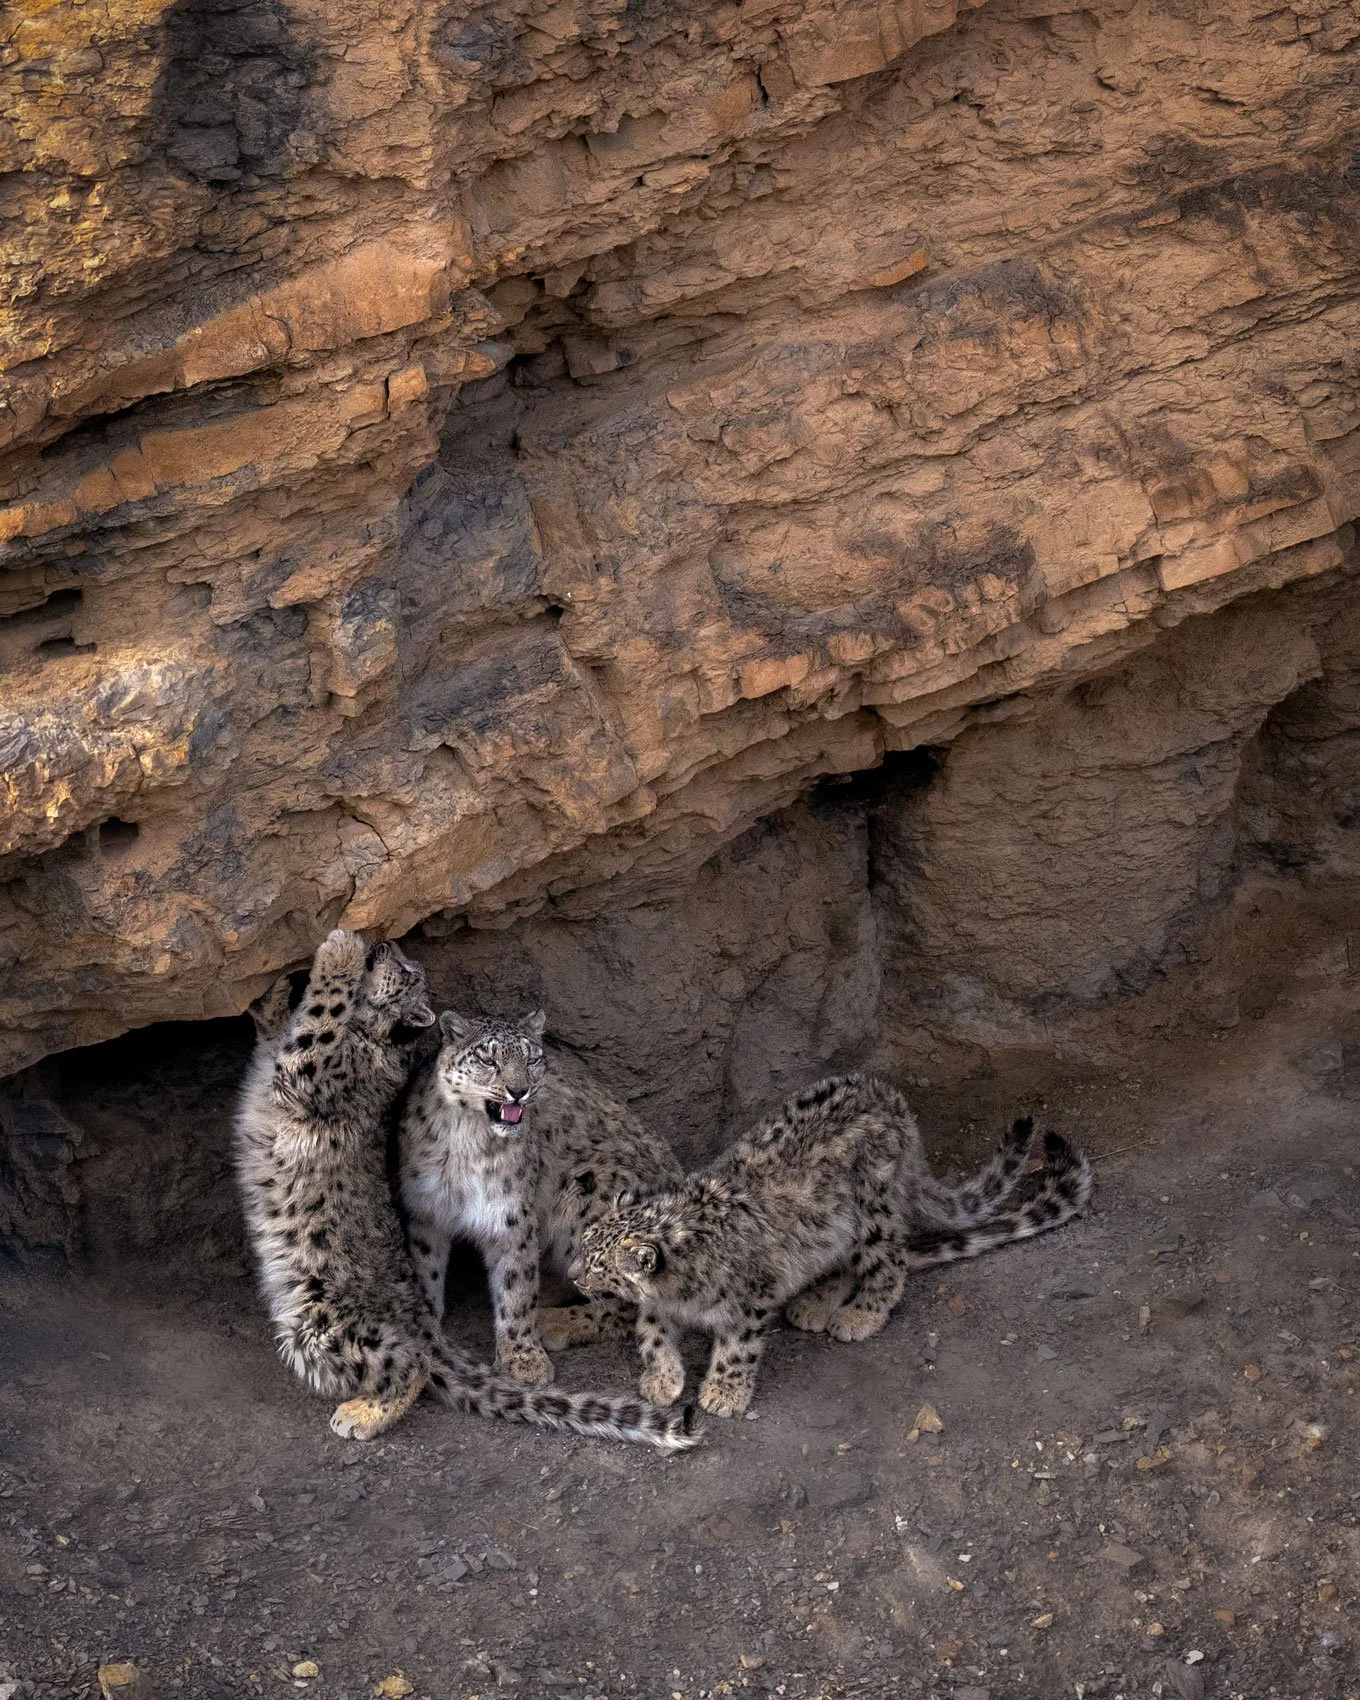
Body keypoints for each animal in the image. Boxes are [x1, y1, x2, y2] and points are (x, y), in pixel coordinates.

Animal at [398, 1009, 687, 1405]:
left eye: (532, 1059)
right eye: (488, 1060)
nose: (518, 1090)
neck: (467, 1141)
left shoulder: (511, 1216)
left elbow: (516, 1288)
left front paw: (523, 1358)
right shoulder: (426, 1210)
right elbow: (426, 1270)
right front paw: (426, 1320)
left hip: (593, 1190)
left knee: (624, 1305)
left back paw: (552, 1322)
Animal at [567, 1071, 1092, 1418]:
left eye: (598, 1265)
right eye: (584, 1245)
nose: (571, 1276)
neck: (679, 1292)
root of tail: (891, 1099)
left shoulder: (749, 1299)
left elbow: (737, 1347)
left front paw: (722, 1393)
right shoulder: (658, 1306)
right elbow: (652, 1336)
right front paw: (662, 1380)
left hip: (868, 1211)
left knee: (889, 1260)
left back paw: (859, 1315)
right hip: (827, 1228)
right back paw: (815, 1304)